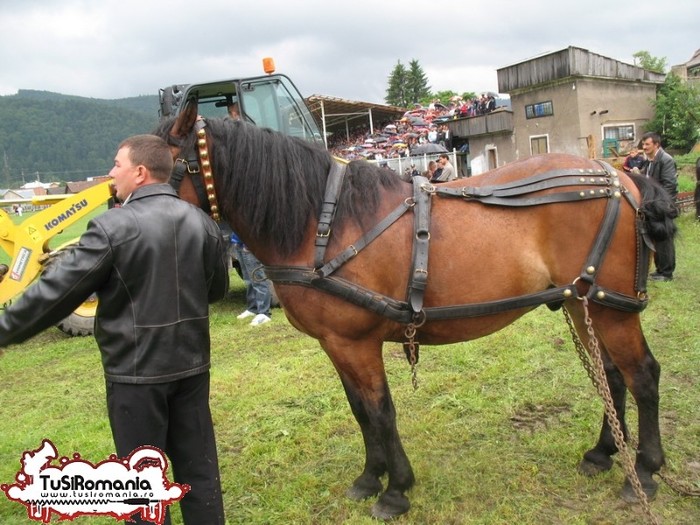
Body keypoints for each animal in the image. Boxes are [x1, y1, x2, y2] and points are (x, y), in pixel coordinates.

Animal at [153, 103, 680, 520]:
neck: (326, 221)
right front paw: (370, 478)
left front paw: (396, 490)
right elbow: (360, 412)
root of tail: (620, 176)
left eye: (160, 166)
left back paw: (645, 472)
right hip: (582, 303)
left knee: (642, 375)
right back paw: (603, 452)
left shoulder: (356, 343)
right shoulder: (336, 344)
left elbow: (380, 412)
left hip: (612, 310)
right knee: (611, 377)